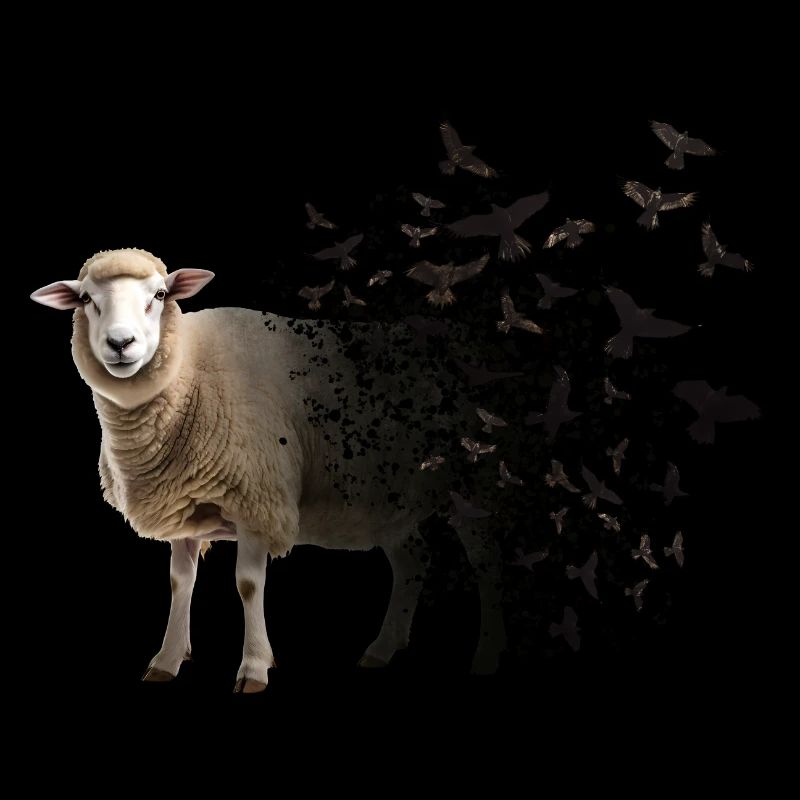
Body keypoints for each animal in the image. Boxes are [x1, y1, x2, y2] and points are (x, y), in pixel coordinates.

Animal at [31, 248, 507, 691]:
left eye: (160, 295)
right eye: (85, 298)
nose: (120, 343)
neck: (191, 379)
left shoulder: (257, 500)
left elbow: (247, 584)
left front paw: (255, 667)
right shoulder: (184, 506)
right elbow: (180, 582)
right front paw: (166, 660)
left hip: (475, 483)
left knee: (487, 565)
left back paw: (487, 656)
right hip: (393, 498)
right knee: (413, 560)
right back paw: (382, 649)